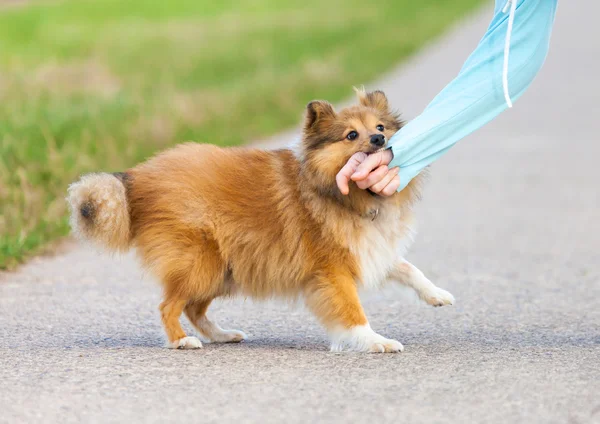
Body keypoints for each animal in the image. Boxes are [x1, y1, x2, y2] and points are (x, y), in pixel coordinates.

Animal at [68, 88, 452, 352]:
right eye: (351, 135)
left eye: (381, 126)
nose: (379, 138)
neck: (340, 192)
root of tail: (137, 179)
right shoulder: (333, 270)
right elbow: (353, 312)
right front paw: (376, 341)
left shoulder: (369, 249)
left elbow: (407, 267)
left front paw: (437, 294)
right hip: (200, 262)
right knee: (169, 306)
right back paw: (181, 341)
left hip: (223, 270)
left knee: (193, 308)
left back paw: (222, 335)